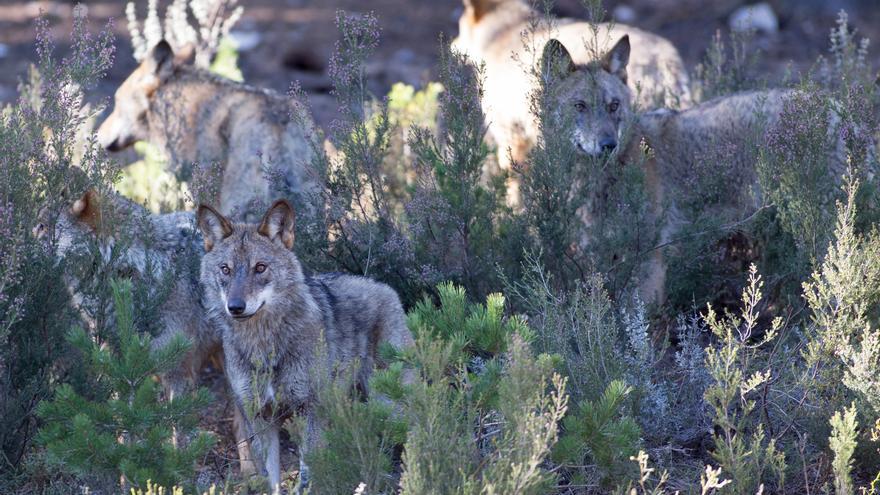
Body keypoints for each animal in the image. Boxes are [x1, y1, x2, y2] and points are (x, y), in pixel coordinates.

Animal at [197, 200, 416, 494]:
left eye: (260, 268)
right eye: (225, 269)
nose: (235, 307)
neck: (265, 346)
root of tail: (385, 287)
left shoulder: (308, 410)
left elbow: (309, 474)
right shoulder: (260, 418)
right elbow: (271, 480)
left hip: (390, 404)